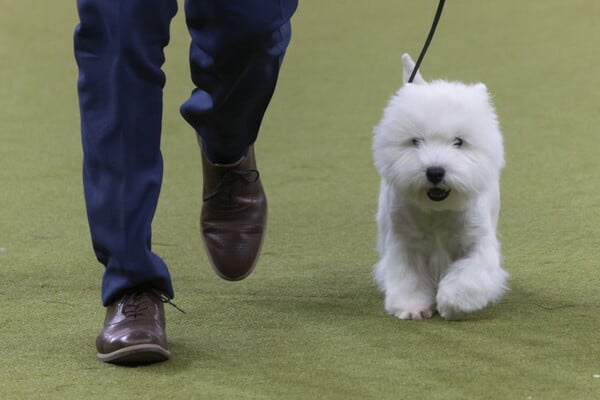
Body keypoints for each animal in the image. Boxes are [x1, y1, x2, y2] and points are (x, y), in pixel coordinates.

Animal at [372, 54, 508, 320]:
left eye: (459, 142)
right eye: (416, 141)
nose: (435, 172)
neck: (437, 211)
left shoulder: (476, 243)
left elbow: (469, 274)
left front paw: (452, 302)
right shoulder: (405, 242)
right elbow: (409, 277)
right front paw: (411, 307)